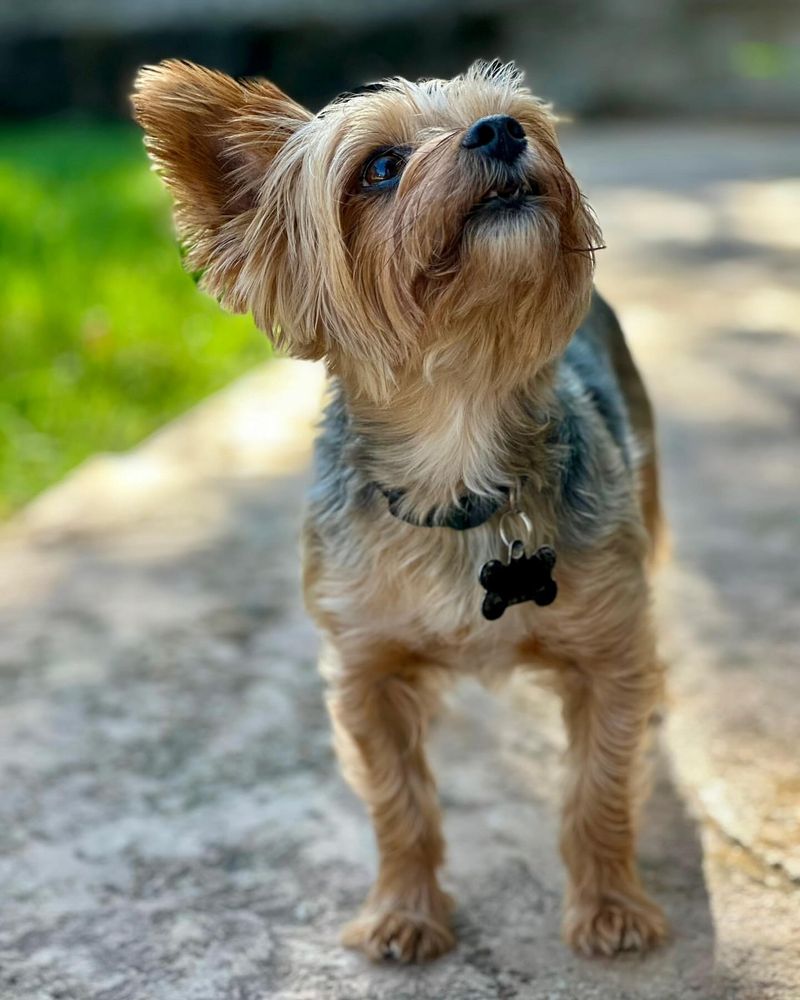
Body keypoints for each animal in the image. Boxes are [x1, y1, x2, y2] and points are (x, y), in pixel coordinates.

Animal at [133, 58, 668, 964]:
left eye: (522, 120)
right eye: (380, 167)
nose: (500, 132)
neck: (459, 453)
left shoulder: (607, 650)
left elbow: (598, 785)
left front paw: (610, 906)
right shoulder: (366, 668)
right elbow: (398, 803)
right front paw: (405, 912)